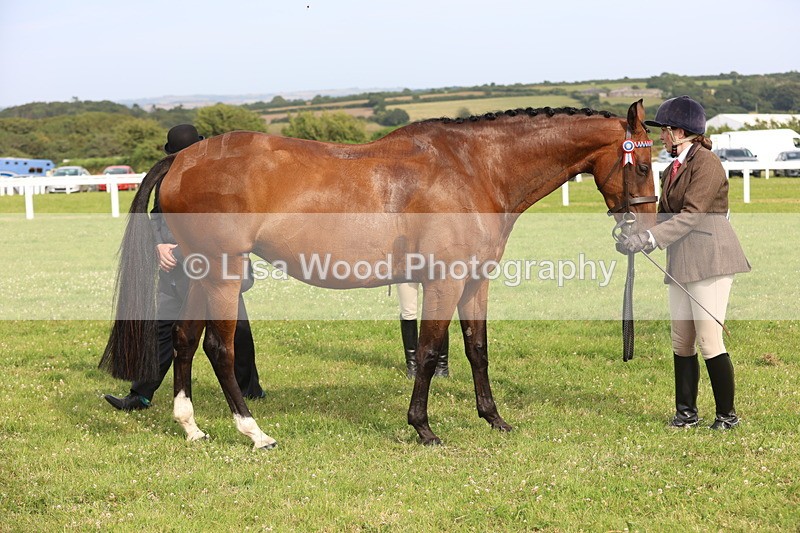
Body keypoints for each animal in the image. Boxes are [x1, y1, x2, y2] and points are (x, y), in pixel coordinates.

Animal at [100, 100, 657, 449]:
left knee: (185, 340)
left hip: (199, 271)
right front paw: (424, 428)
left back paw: (192, 428)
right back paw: (255, 432)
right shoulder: (444, 280)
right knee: (219, 347)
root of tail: (181, 159)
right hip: (223, 273)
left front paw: (494, 419)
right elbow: (429, 351)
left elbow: (477, 348)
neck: (473, 169)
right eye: (642, 164)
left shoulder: (476, 281)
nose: (643, 236)